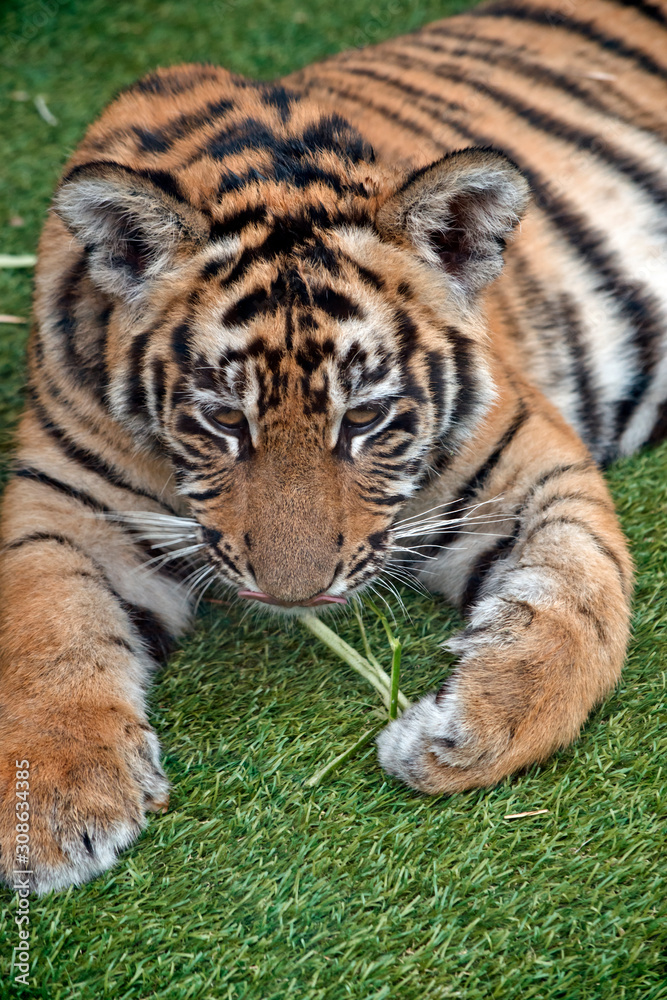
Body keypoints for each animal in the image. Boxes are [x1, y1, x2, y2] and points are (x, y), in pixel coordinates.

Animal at [1, 0, 665, 894]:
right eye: (224, 420)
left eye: (364, 418)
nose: (294, 595)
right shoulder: (61, 504)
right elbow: (44, 634)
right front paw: (50, 806)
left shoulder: (531, 459)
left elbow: (580, 610)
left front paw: (462, 736)